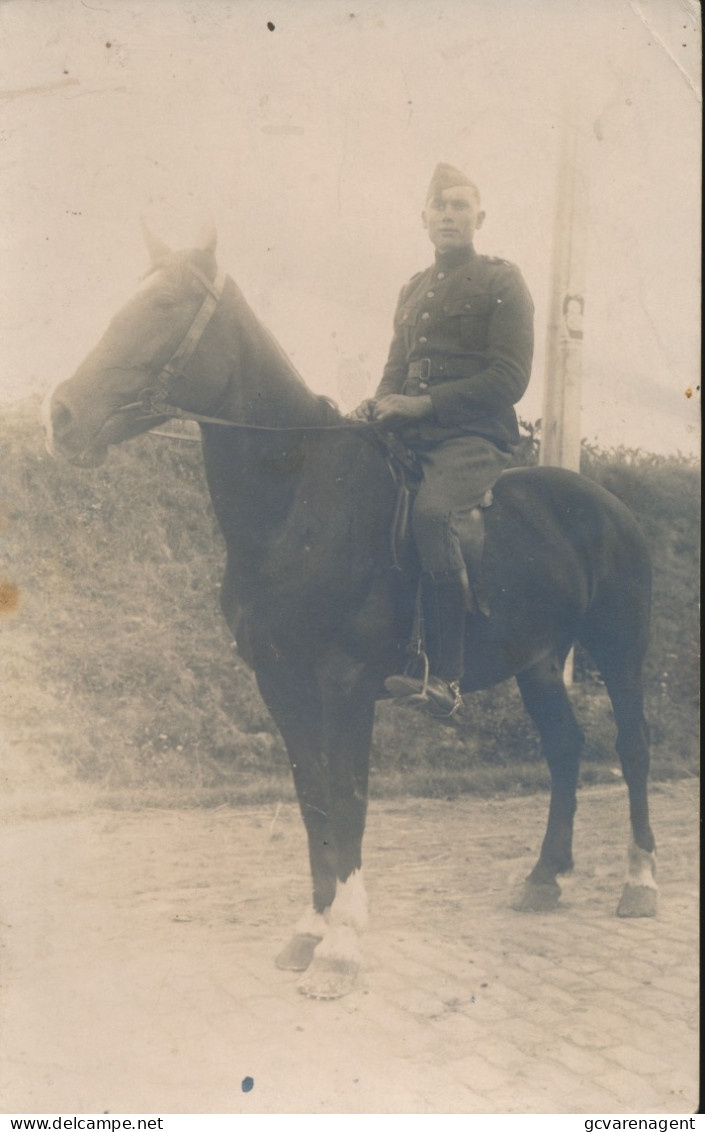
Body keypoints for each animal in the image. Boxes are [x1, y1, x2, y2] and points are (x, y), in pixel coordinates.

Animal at [46, 227, 660, 1000]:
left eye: (161, 305)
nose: (61, 415)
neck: (300, 500)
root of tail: (608, 505)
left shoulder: (343, 687)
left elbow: (347, 798)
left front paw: (341, 945)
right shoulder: (280, 686)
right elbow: (312, 799)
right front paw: (309, 929)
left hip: (618, 649)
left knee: (631, 748)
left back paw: (639, 882)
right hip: (539, 663)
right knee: (565, 747)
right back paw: (543, 878)